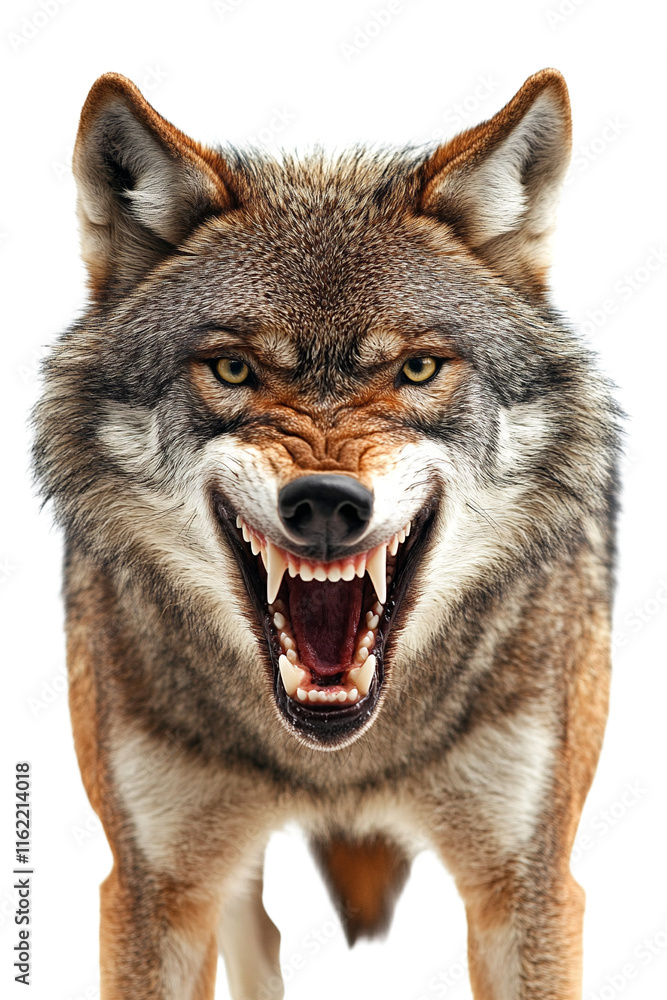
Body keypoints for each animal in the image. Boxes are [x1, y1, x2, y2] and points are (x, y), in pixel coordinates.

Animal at [34, 68, 620, 999]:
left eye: (416, 367)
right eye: (233, 368)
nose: (323, 504)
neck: (337, 761)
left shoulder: (527, 885)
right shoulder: (152, 885)